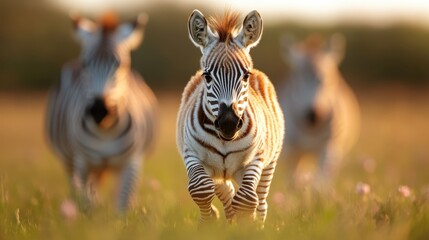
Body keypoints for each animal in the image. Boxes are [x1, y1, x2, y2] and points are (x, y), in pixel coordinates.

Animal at [46, 12, 156, 212]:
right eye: (85, 65)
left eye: (121, 64)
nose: (99, 111)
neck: (106, 131)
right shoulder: (82, 163)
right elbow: (88, 204)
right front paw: (88, 218)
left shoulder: (132, 162)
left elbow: (122, 205)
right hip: (68, 160)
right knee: (76, 190)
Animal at [176, 9, 284, 227]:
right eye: (207, 76)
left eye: (245, 76)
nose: (228, 124)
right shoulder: (191, 153)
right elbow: (200, 190)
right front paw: (208, 224)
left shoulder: (256, 157)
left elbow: (246, 199)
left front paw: (245, 228)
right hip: (218, 171)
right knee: (226, 191)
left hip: (268, 163)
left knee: (260, 201)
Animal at [280, 33, 360, 188]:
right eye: (297, 81)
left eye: (326, 80)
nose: (313, 116)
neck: (311, 130)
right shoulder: (291, 149)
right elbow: (293, 180)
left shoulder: (329, 147)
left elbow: (321, 181)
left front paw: (317, 193)